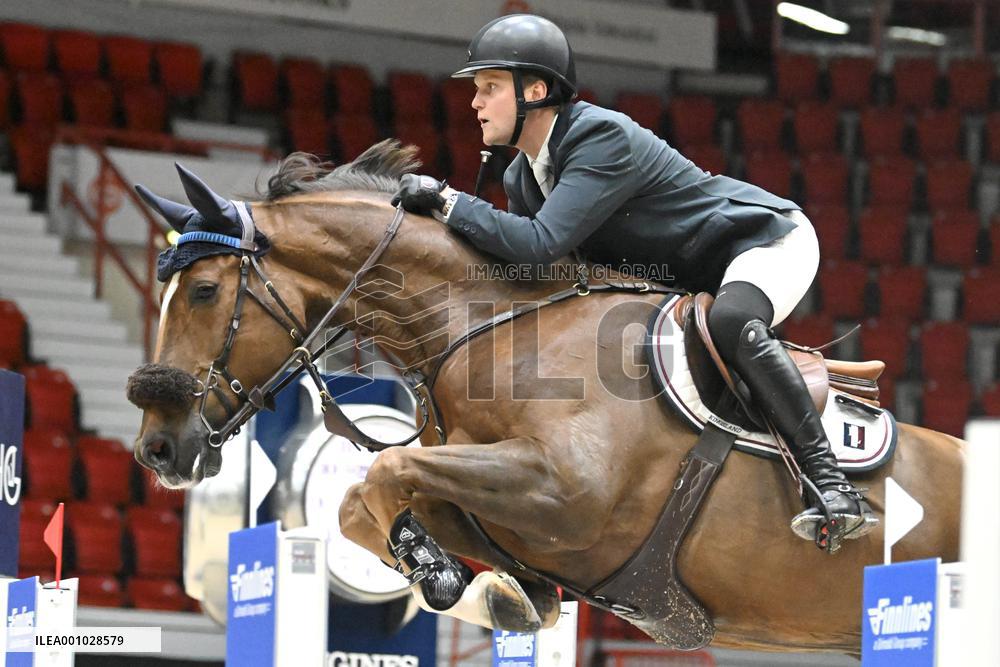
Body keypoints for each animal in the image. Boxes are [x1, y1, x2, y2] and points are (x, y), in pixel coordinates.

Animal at [127, 141, 963, 655]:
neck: (485, 328)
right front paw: (489, 591)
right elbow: (362, 502)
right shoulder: (498, 502)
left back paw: (835, 501)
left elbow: (385, 472)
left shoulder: (564, 490)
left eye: (204, 290)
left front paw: (446, 577)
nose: (158, 446)